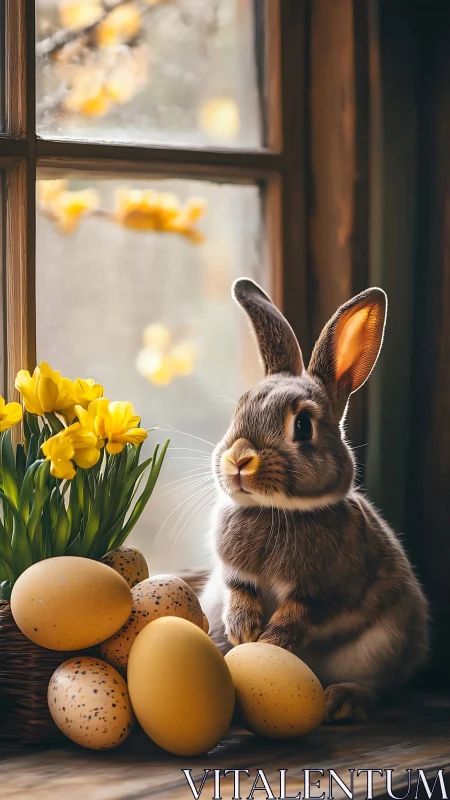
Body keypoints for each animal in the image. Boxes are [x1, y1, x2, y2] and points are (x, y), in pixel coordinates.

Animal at [201, 278, 429, 722]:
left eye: (303, 426)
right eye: (238, 411)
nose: (239, 460)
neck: (277, 510)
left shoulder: (328, 588)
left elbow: (300, 613)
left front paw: (269, 644)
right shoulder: (232, 573)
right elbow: (239, 590)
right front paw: (245, 630)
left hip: (381, 644)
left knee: (377, 686)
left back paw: (342, 700)